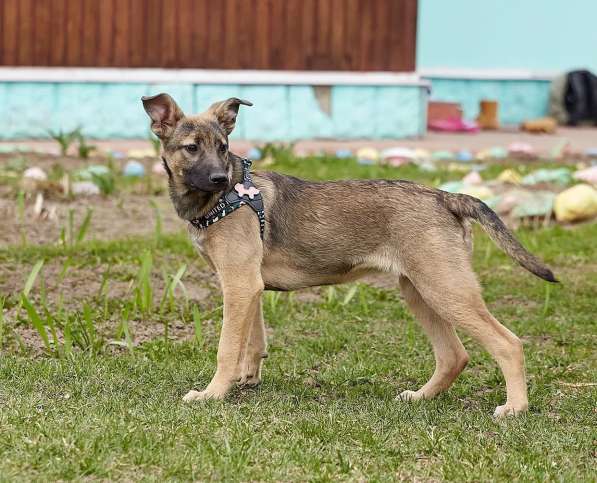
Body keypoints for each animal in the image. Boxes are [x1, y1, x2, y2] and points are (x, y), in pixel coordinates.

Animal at [142, 92, 556, 418]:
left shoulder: (240, 284)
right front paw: (247, 381)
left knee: (508, 343)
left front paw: (212, 394)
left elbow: (227, 347)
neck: (220, 200)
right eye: (192, 148)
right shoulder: (248, 285)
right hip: (420, 290)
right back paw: (421, 397)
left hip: (445, 288)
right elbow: (252, 340)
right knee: (454, 356)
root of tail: (446, 197)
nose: (219, 178)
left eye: (223, 148)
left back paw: (515, 408)